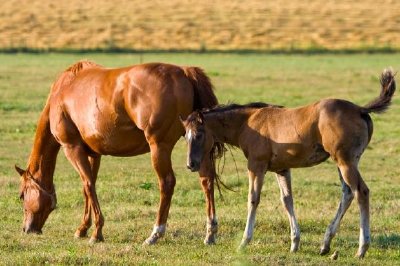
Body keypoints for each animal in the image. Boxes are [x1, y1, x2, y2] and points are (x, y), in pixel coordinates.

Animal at [16, 60, 222, 245]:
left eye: (22, 195)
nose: (26, 229)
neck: (62, 93)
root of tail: (184, 71)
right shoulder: (93, 154)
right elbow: (88, 187)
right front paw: (83, 228)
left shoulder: (72, 148)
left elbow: (88, 185)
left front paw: (96, 232)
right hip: (198, 144)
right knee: (206, 180)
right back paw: (210, 232)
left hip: (159, 148)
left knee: (167, 183)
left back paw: (155, 233)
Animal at [181, 69, 396, 258]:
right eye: (186, 137)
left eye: (199, 135)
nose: (191, 164)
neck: (248, 122)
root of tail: (360, 109)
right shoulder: (282, 169)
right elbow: (287, 200)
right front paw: (294, 243)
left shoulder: (256, 166)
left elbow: (253, 199)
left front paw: (244, 241)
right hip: (343, 162)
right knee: (348, 193)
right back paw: (325, 244)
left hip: (345, 162)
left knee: (361, 192)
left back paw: (361, 248)